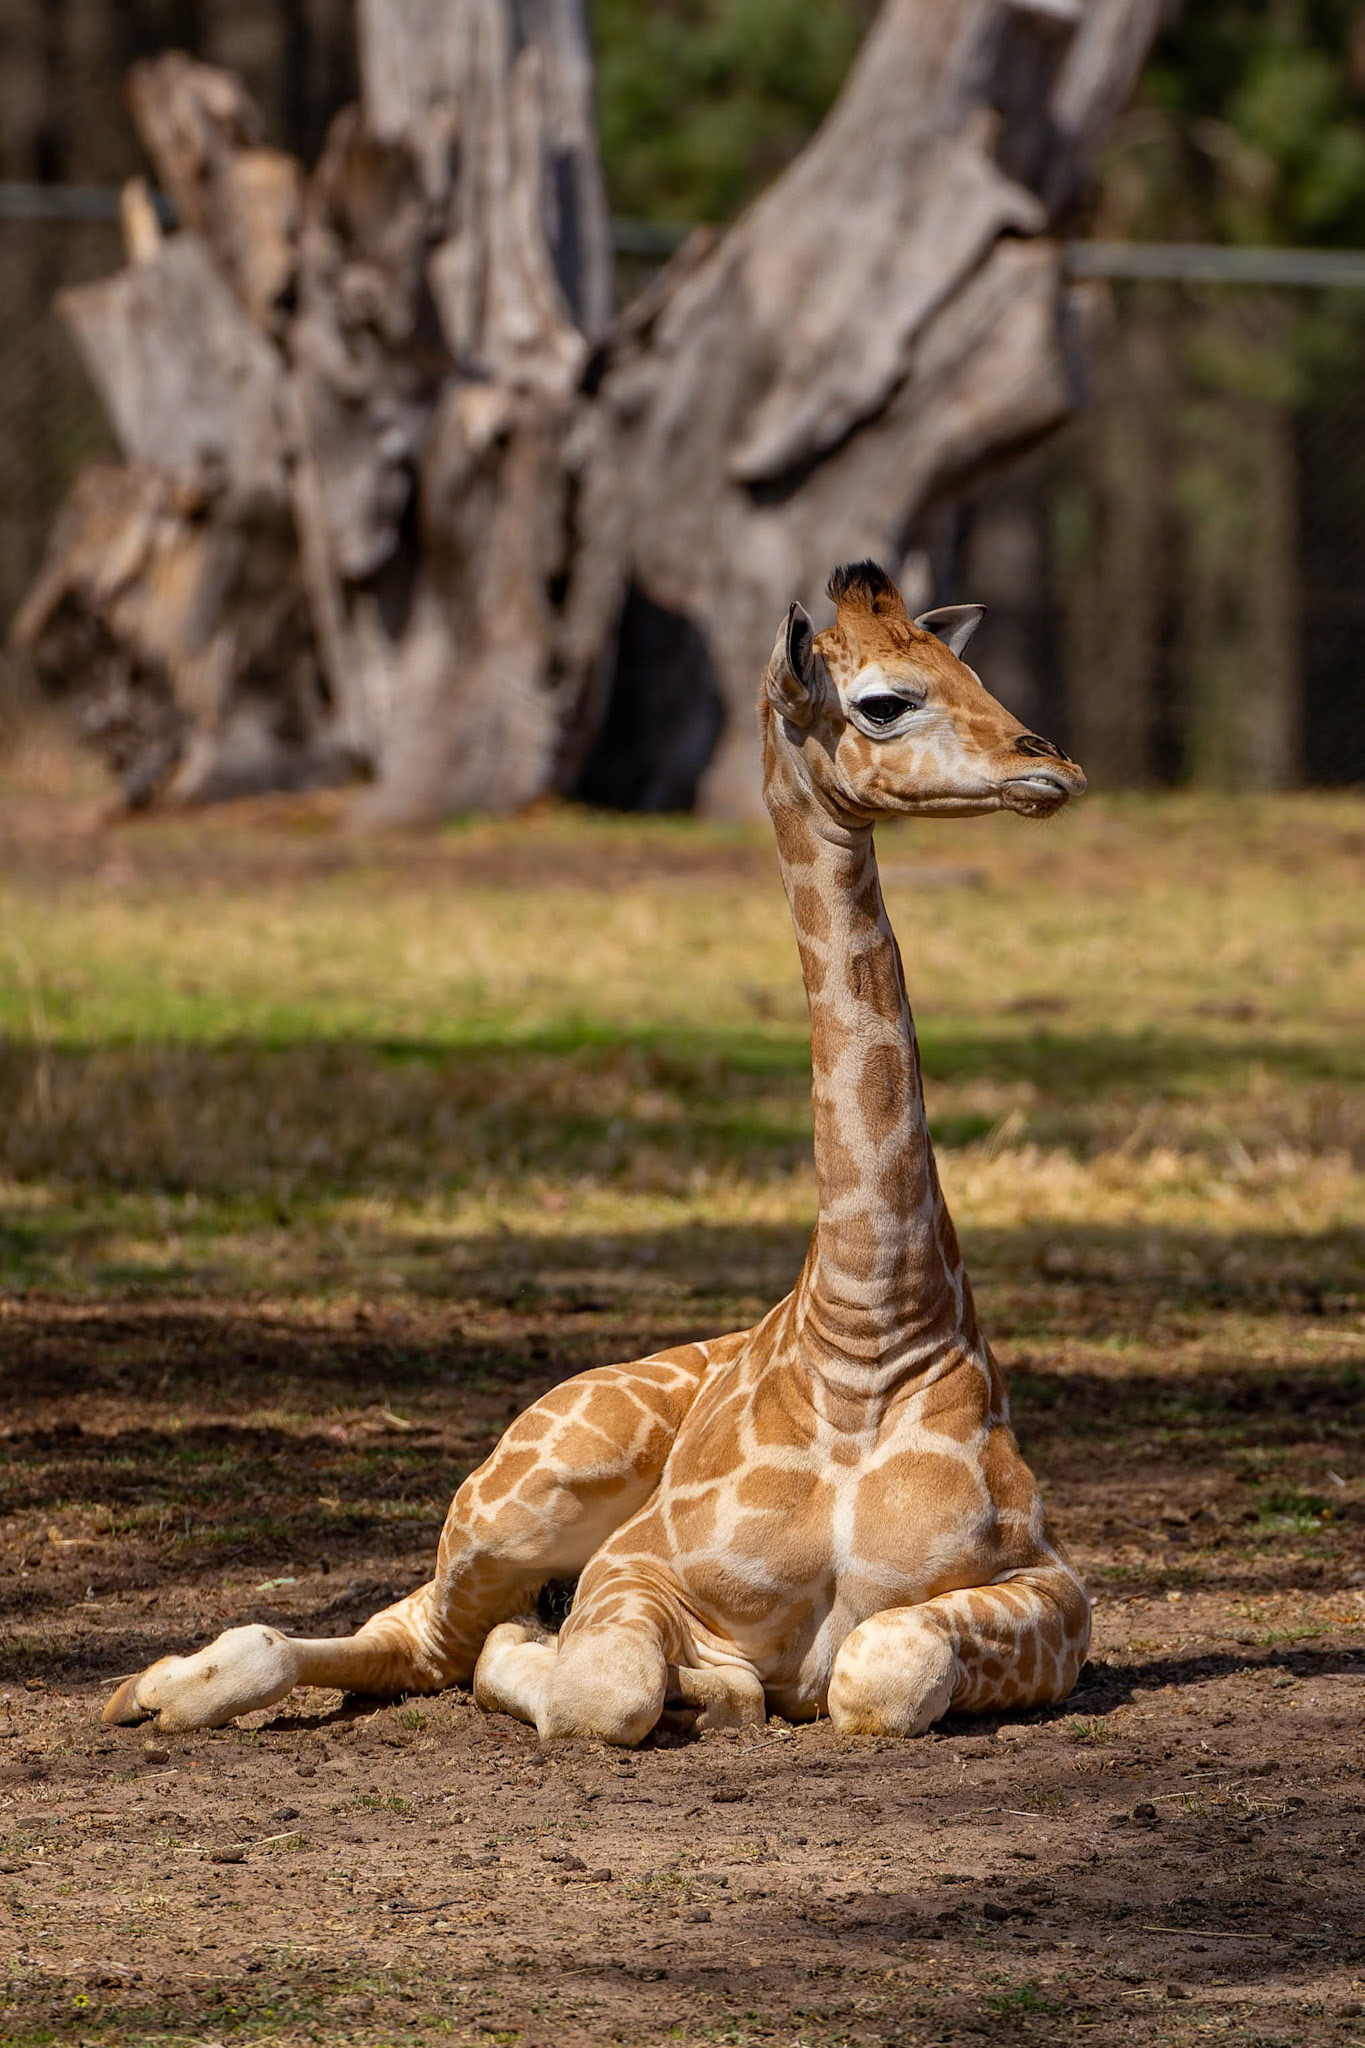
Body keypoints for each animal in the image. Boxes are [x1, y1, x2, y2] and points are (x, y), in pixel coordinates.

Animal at [104, 560, 1091, 1742]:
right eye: (885, 701)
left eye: (967, 668)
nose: (1052, 763)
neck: (868, 1335)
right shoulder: (638, 1562)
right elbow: (602, 1688)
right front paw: (653, 1674)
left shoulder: (1049, 1582)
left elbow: (881, 1666)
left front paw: (717, 1683)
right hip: (523, 1495)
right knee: (428, 1633)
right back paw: (158, 1685)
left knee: (433, 1645)